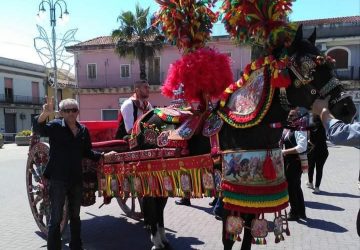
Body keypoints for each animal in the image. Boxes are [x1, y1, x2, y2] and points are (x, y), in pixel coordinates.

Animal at [136, 23, 358, 250]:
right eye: (310, 69)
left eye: (330, 66)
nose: (348, 108)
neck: (245, 127)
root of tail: (147, 116)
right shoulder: (229, 193)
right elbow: (228, 238)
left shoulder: (252, 192)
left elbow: (249, 235)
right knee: (152, 204)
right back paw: (156, 240)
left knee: (158, 204)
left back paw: (162, 239)